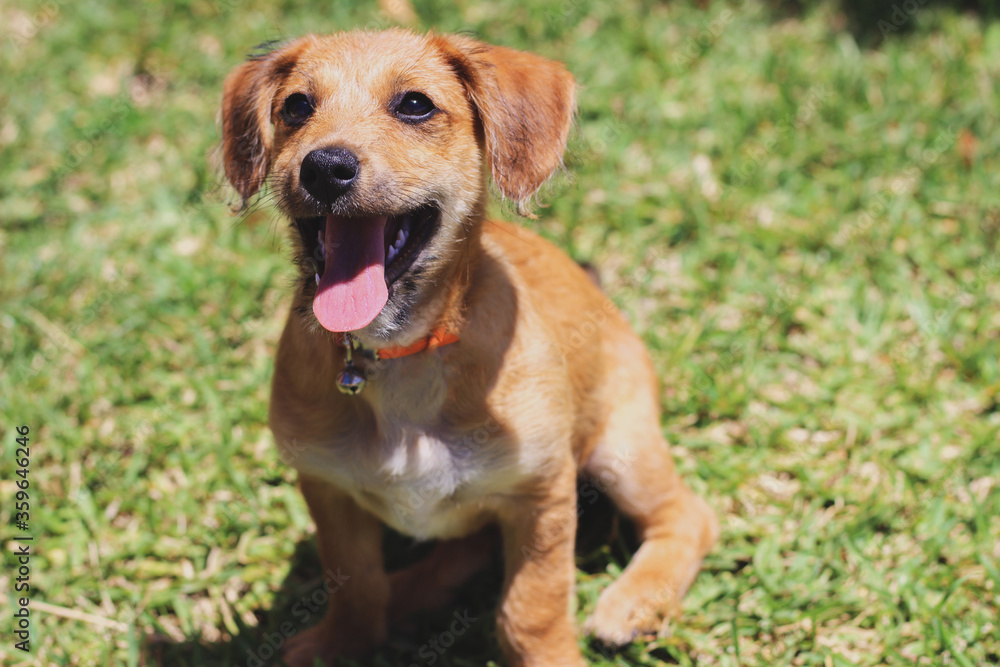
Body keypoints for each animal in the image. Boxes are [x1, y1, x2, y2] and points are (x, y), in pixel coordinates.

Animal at [220, 28, 720, 664]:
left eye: (414, 105)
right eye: (295, 108)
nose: (324, 168)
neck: (405, 354)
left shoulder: (542, 493)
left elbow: (530, 608)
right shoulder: (328, 490)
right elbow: (357, 585)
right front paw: (342, 643)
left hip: (621, 445)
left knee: (690, 514)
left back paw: (633, 602)